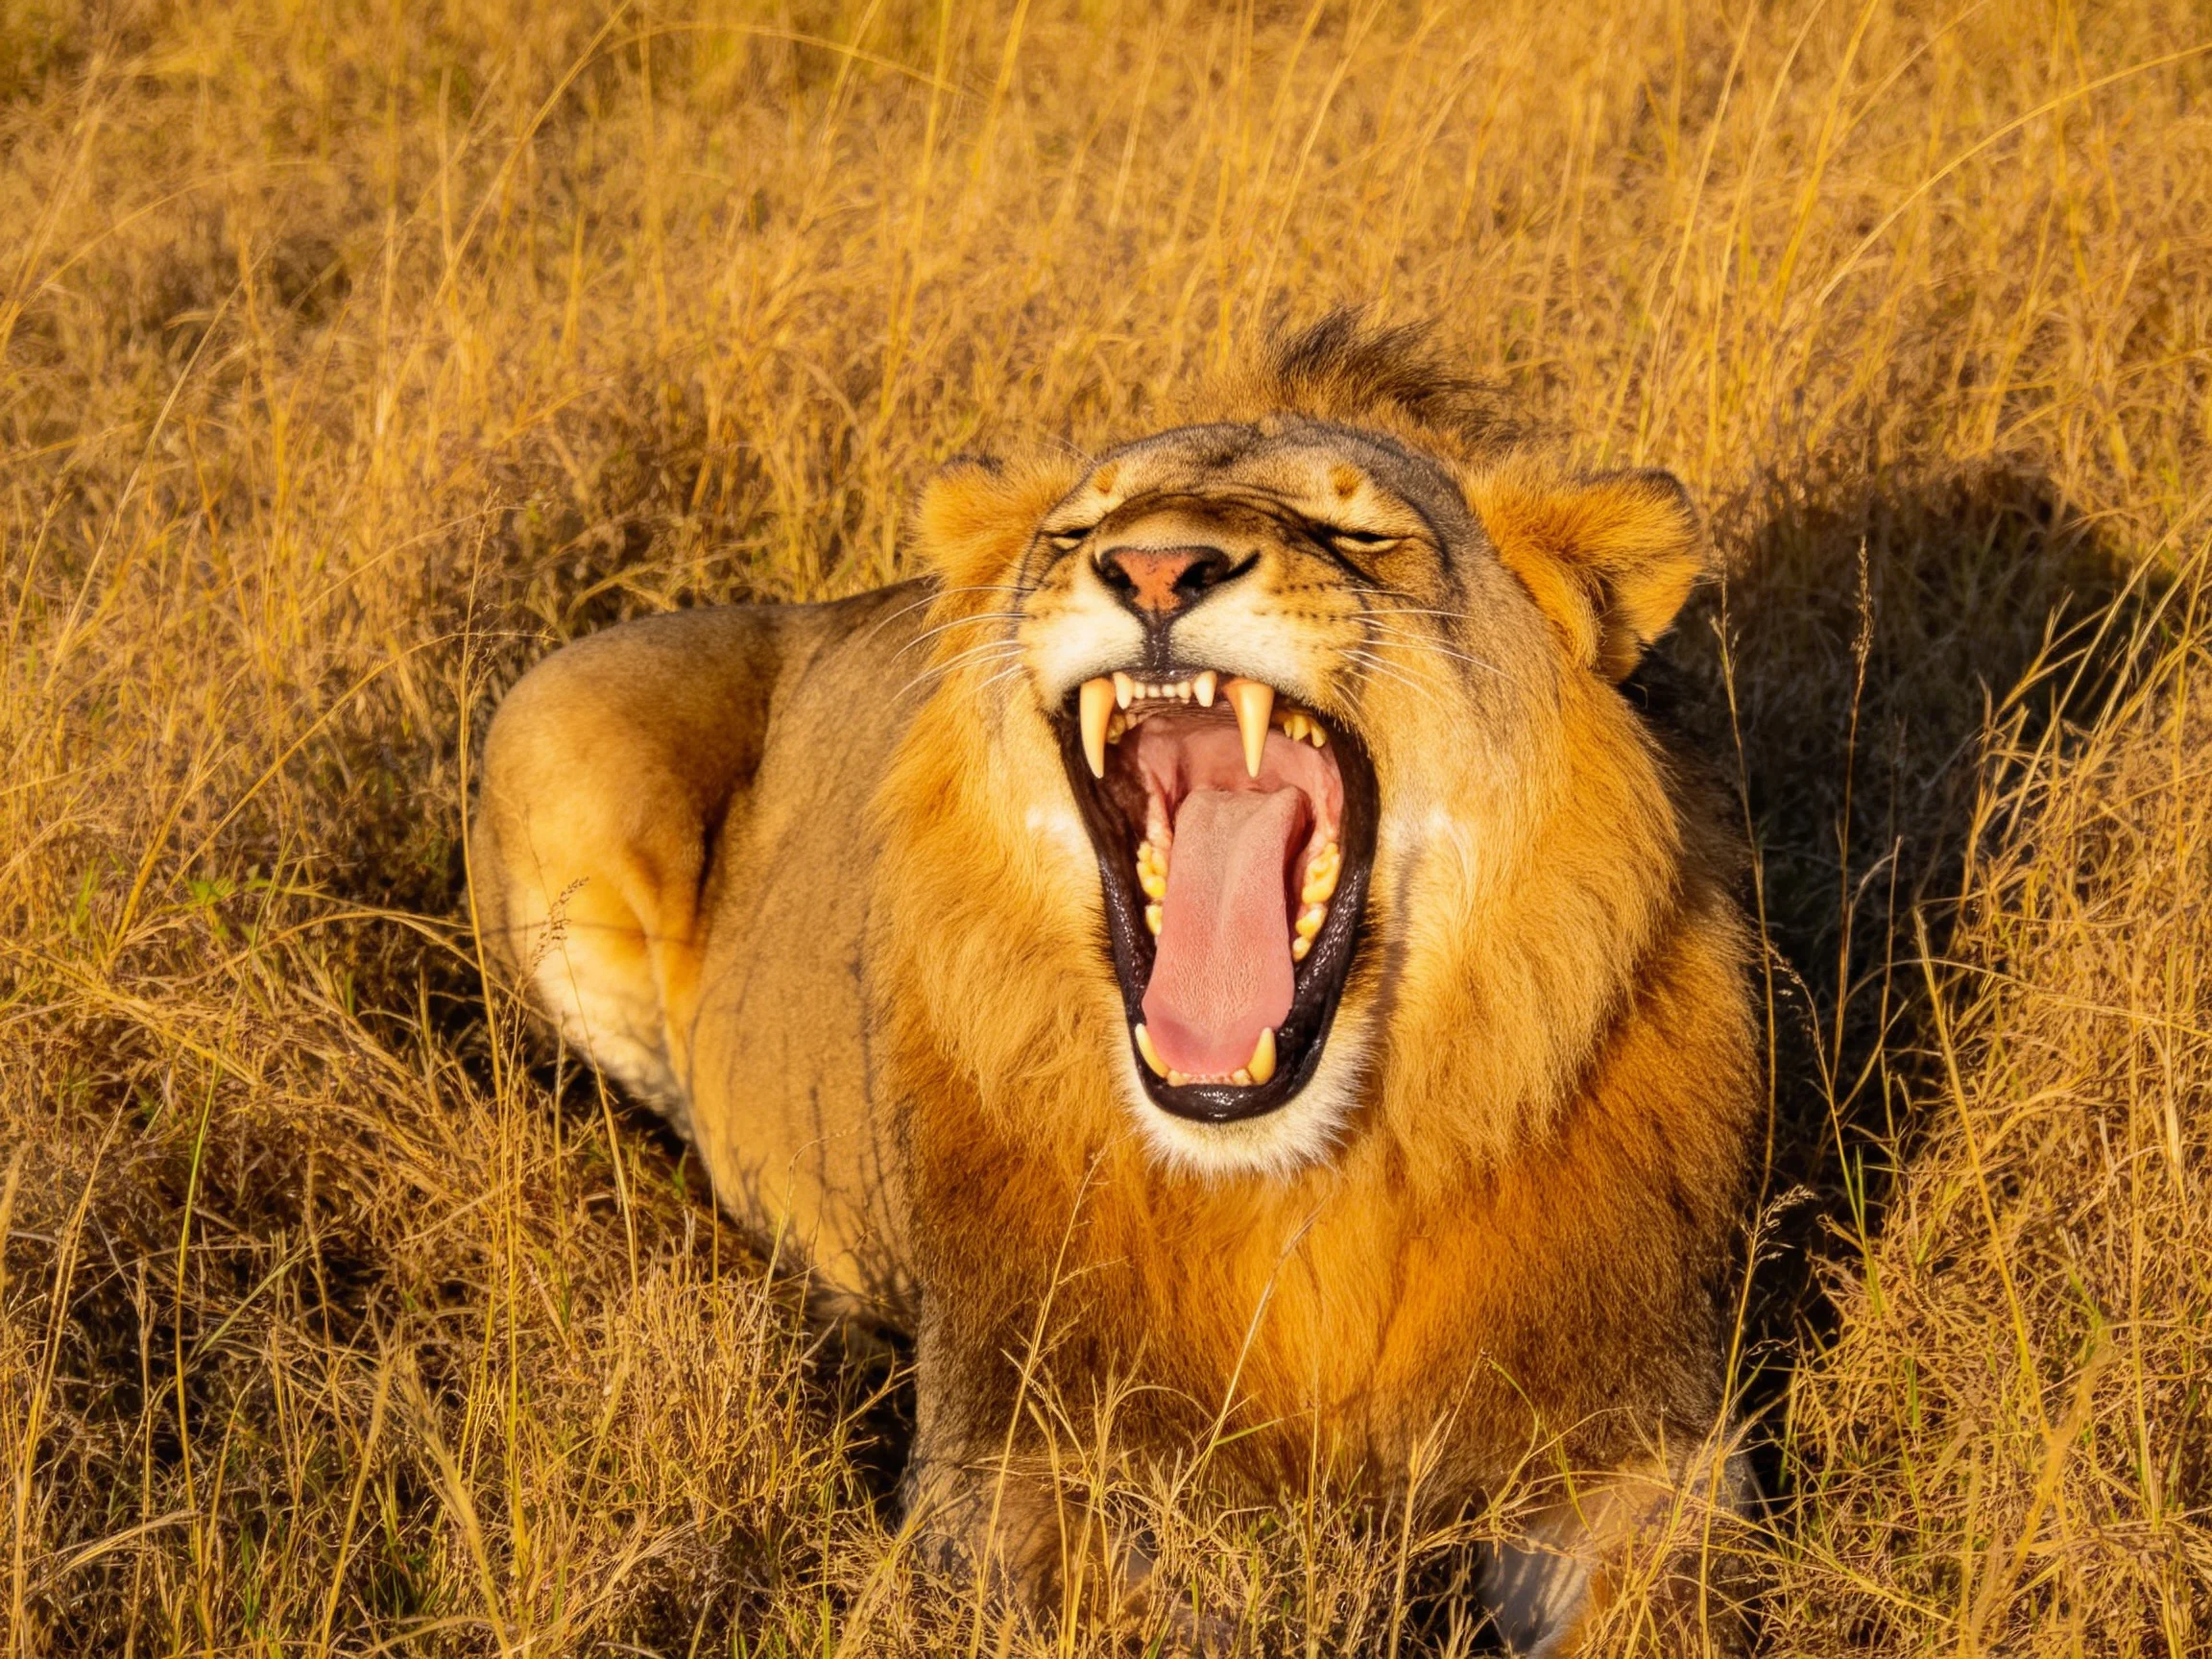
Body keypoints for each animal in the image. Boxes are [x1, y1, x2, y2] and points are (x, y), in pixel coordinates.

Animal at [469, 315, 1761, 1653]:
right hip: (558, 724)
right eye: (1075, 532)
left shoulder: (1643, 1436)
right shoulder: (1007, 1452)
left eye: (1362, 535)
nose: (1152, 568)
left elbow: (1661, 1611)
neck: (1301, 1186)